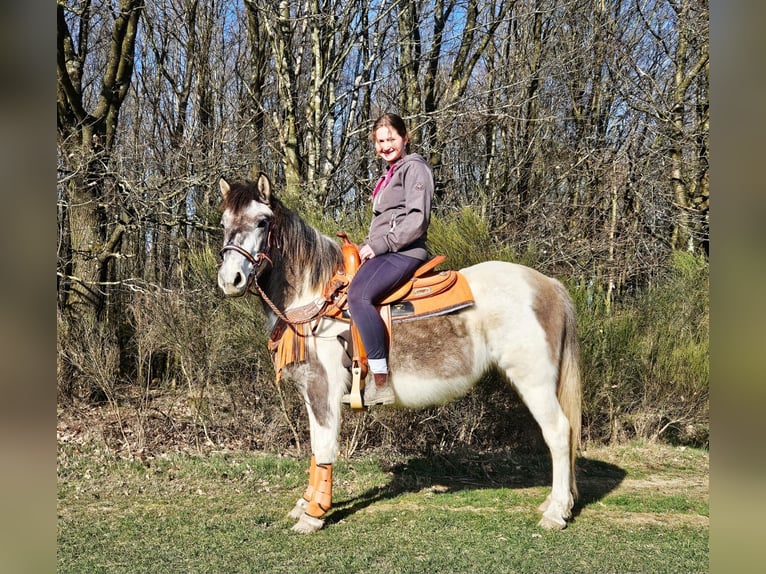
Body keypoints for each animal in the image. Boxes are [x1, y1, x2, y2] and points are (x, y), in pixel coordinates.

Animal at [216, 173, 582, 534]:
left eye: (262, 222)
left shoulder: (323, 387)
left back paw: (556, 513)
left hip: (534, 381)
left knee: (558, 433)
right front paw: (305, 503)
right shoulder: (310, 389)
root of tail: (549, 285)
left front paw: (315, 513)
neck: (317, 296)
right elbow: (314, 447)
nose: (230, 280)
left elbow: (324, 446)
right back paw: (554, 504)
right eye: (223, 222)